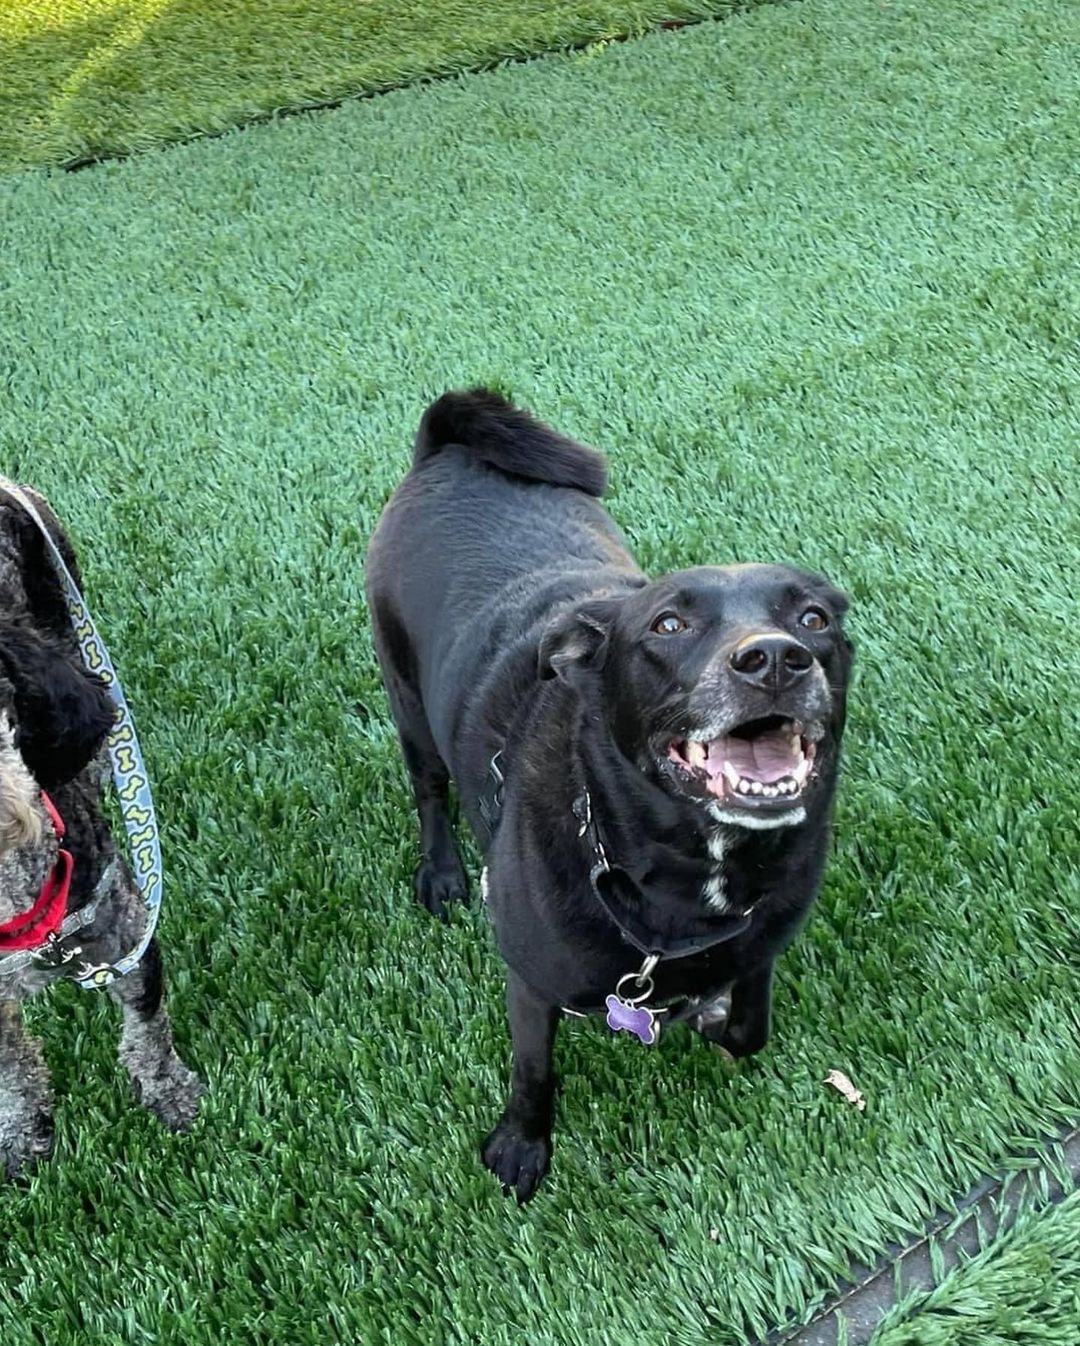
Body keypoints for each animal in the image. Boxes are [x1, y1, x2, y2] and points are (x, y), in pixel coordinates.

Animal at [366, 390, 856, 1200]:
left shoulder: (761, 943)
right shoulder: (530, 977)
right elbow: (534, 1073)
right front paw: (520, 1148)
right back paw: (440, 872)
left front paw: (715, 1014)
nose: (775, 660)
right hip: (406, 699)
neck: (689, 874)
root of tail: (450, 445)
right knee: (429, 787)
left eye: (812, 618)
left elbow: (751, 1025)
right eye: (669, 623)